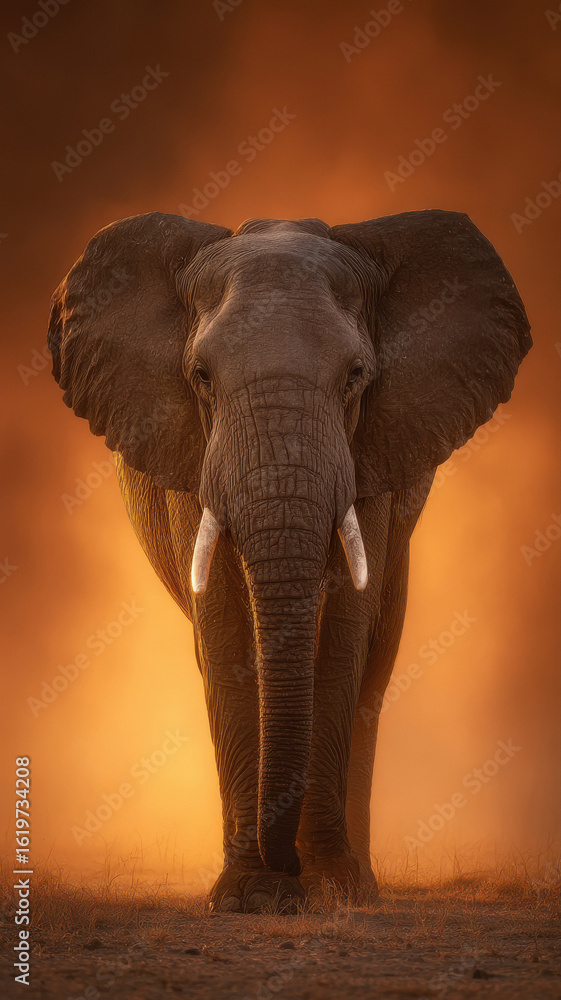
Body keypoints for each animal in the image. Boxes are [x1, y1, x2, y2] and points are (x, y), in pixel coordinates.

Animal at [47, 210, 531, 912]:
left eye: (356, 375)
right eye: (201, 377)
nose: (291, 867)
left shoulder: (373, 453)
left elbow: (344, 636)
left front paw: (330, 889)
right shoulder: (191, 455)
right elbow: (225, 634)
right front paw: (252, 897)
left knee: (375, 662)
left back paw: (359, 882)